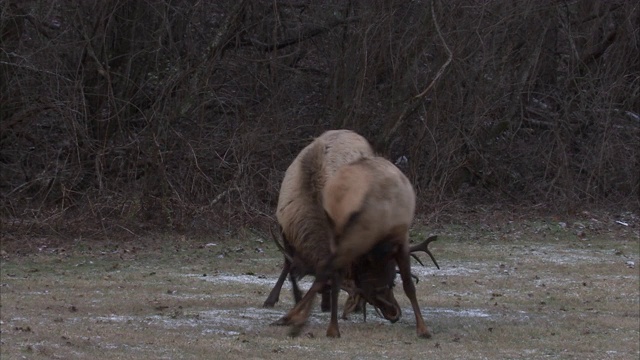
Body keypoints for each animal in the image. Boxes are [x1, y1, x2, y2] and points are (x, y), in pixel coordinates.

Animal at [276, 156, 432, 338]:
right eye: (392, 283)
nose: (395, 313)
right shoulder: (401, 238)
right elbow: (409, 286)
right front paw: (423, 329)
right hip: (357, 234)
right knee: (329, 270)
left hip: (336, 234)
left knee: (328, 272)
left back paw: (315, 324)